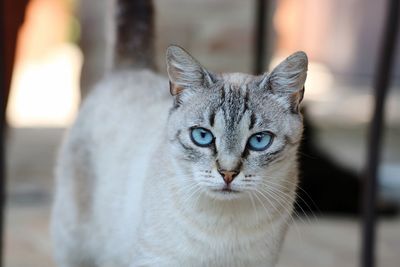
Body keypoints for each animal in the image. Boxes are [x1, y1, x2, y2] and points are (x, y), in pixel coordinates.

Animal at [51, 0, 308, 267]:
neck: (225, 224)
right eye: (202, 137)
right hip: (75, 246)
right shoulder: (157, 260)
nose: (227, 174)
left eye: (259, 140)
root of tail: (131, 69)